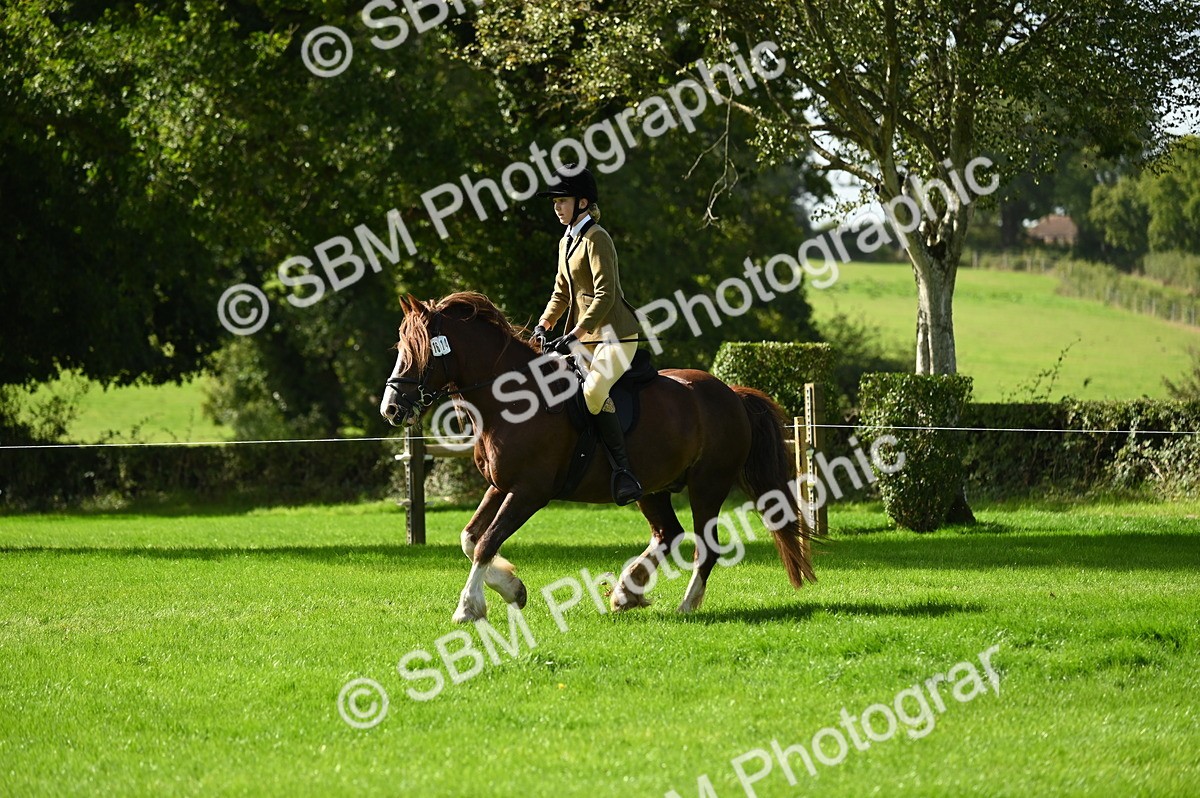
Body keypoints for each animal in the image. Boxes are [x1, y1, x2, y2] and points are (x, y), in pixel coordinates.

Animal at [379, 291, 817, 622]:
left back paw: (686, 606)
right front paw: (513, 589)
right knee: (668, 534)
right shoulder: (500, 486)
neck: (511, 399)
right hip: (652, 488)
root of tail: (731, 393)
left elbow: (486, 542)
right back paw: (627, 592)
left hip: (708, 485)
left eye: (419, 350)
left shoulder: (530, 491)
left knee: (704, 547)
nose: (392, 409)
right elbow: (470, 538)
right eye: (400, 346)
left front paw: (469, 608)